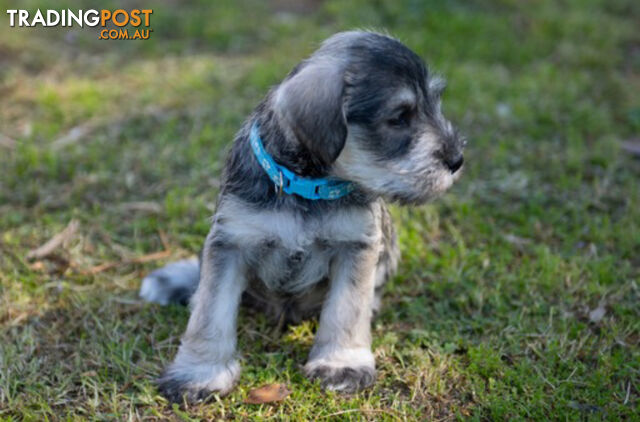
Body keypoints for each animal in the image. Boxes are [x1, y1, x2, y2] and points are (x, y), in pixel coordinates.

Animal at [139, 30, 464, 402]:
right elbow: (211, 312)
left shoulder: (355, 246)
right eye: (399, 117)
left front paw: (342, 365)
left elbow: (347, 309)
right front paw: (198, 374)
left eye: (434, 103)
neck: (308, 185)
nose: (457, 159)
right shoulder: (231, 242)